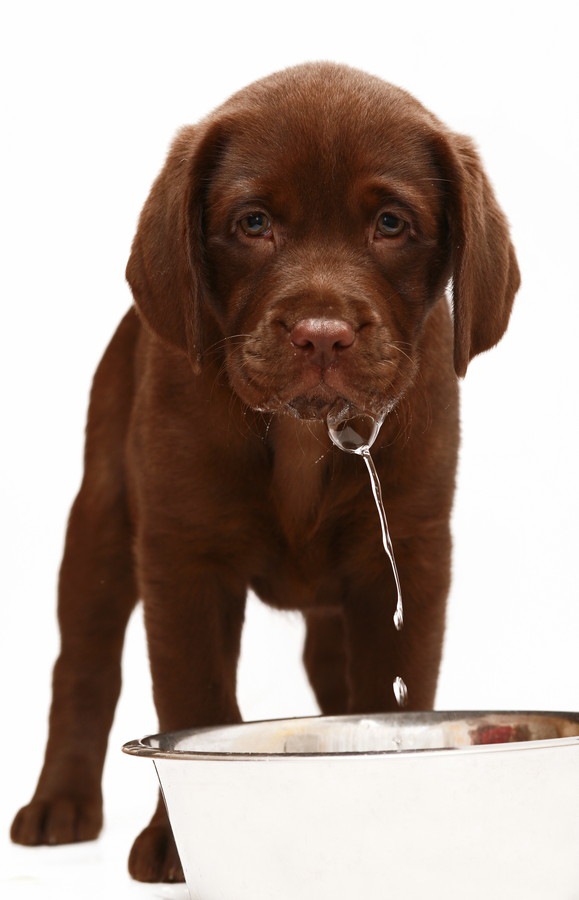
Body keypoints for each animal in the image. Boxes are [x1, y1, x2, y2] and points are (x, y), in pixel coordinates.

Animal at [10, 63, 520, 880]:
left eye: (390, 224)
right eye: (253, 223)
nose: (322, 336)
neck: (302, 433)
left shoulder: (408, 554)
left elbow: (391, 694)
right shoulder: (183, 558)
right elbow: (194, 698)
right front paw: (175, 843)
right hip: (100, 524)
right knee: (83, 666)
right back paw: (59, 803)